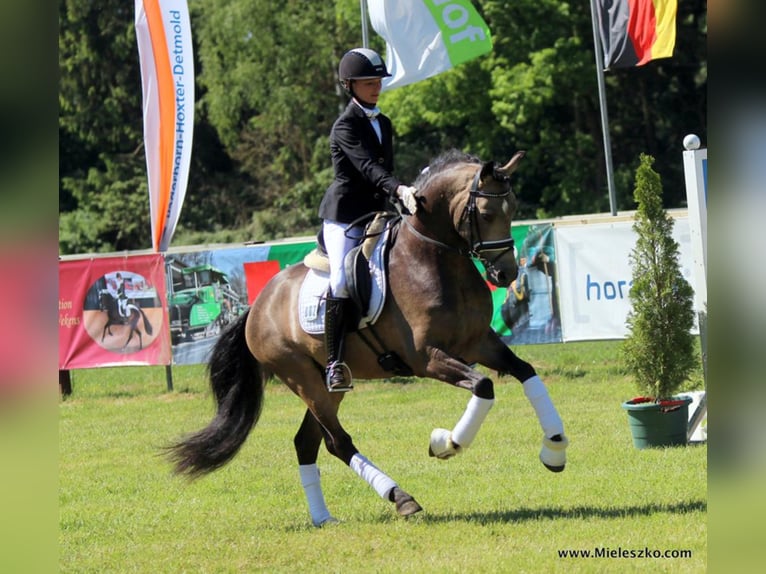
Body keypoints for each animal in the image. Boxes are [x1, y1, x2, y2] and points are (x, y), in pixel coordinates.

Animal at [166, 149, 569, 526]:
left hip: (325, 385)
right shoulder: (426, 357)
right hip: (302, 378)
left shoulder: (478, 342)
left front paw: (554, 448)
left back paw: (324, 518)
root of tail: (258, 305)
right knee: (337, 441)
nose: (505, 274)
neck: (434, 258)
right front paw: (446, 443)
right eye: (484, 213)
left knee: (307, 443)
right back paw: (401, 498)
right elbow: (483, 385)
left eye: (513, 209)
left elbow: (526, 371)